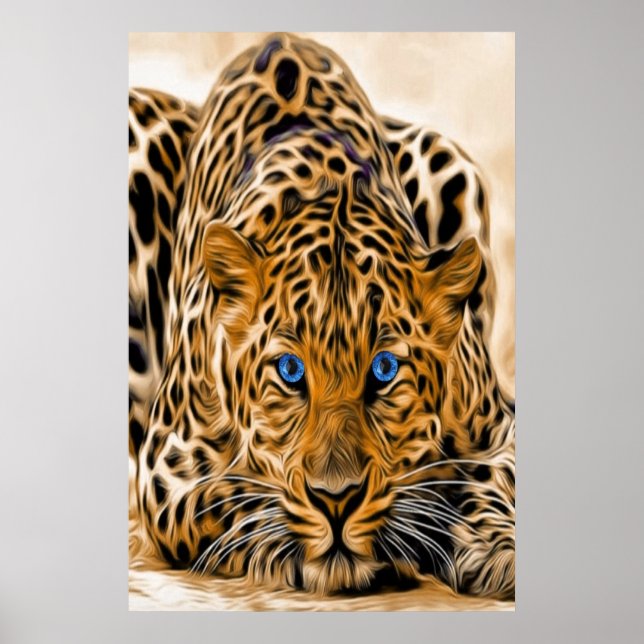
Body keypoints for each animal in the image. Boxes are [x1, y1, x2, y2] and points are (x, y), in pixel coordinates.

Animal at [129, 32, 515, 600]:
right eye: (290, 372)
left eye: (385, 370)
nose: (338, 499)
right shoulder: (168, 467)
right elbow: (235, 499)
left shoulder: (500, 427)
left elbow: (495, 478)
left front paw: (497, 548)